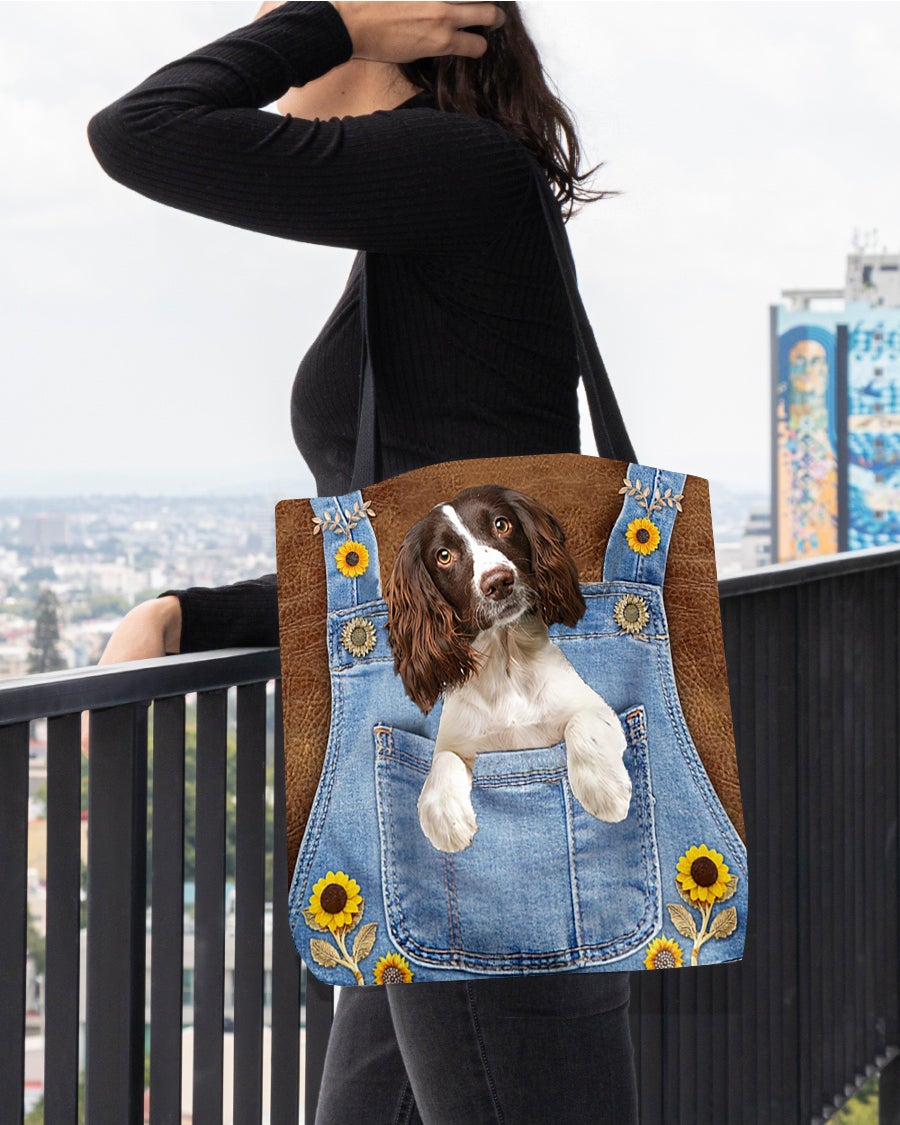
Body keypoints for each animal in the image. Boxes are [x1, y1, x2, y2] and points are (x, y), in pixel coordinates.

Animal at [382, 483, 630, 850]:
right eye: (444, 556)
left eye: (501, 524)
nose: (498, 582)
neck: (506, 662)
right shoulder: (462, 739)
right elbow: (443, 759)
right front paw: (445, 819)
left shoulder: (595, 708)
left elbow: (582, 725)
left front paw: (605, 790)